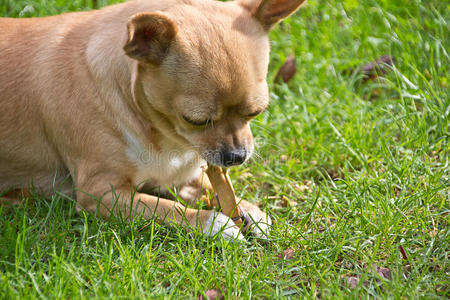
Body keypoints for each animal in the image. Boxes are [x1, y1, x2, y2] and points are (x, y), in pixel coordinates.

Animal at [0, 0, 306, 239]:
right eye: (196, 120)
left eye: (256, 112)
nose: (236, 156)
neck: (167, 139)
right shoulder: (101, 194)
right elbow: (163, 207)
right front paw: (211, 222)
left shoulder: (180, 178)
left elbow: (212, 188)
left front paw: (248, 209)